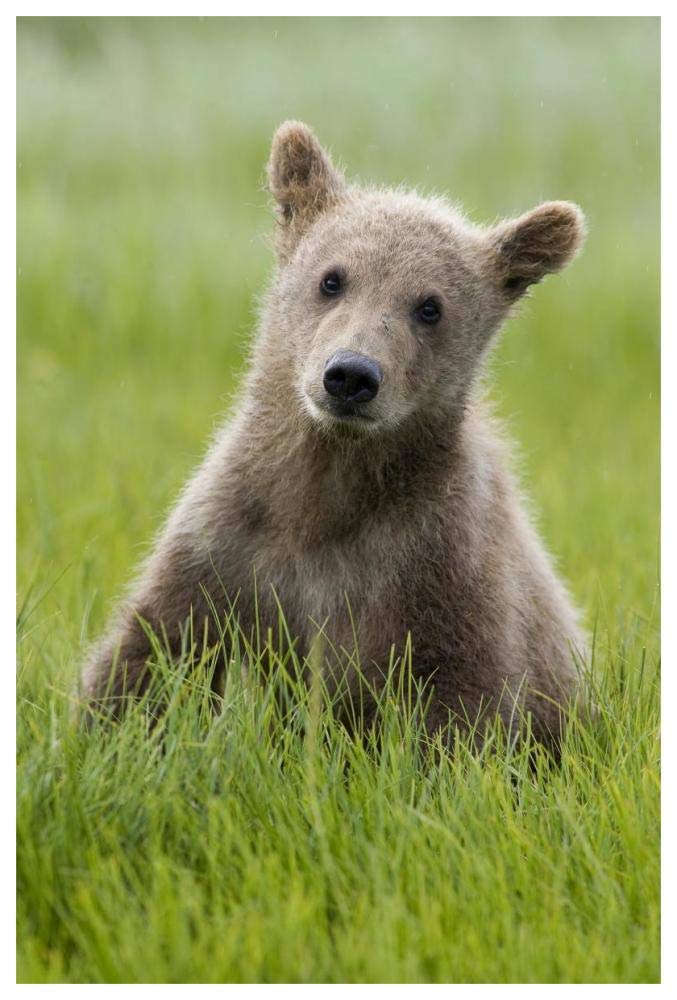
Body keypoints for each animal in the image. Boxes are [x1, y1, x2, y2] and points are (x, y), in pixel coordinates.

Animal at [83, 121, 588, 748]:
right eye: (333, 279)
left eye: (430, 306)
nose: (351, 375)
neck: (326, 490)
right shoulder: (229, 546)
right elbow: (154, 651)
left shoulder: (441, 569)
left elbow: (462, 702)